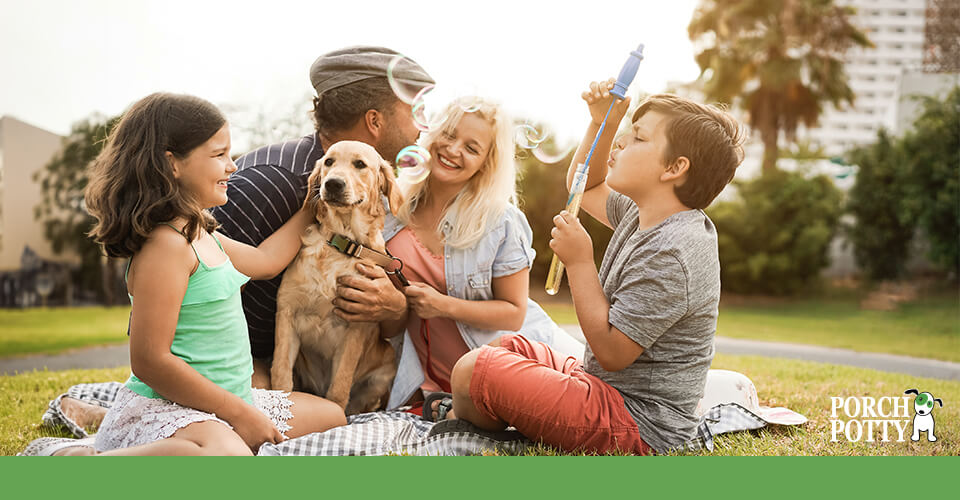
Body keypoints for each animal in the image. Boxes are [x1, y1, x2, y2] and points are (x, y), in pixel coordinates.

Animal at [272, 141, 404, 414]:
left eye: (360, 164)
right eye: (329, 162)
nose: (332, 184)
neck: (343, 244)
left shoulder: (355, 326)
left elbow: (339, 390)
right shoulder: (287, 314)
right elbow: (280, 376)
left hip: (384, 370)